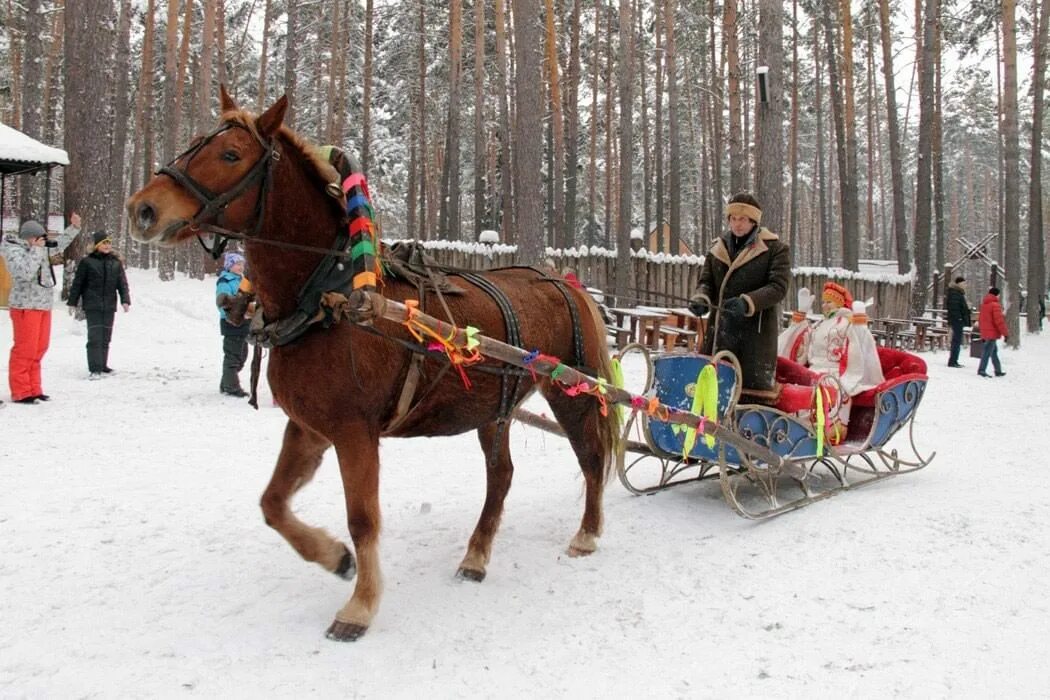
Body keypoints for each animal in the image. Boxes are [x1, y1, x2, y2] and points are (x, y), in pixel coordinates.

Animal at [125, 90, 617, 642]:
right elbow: (272, 504)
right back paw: (475, 556)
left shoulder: (353, 431)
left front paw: (359, 605)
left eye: (231, 155)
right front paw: (334, 557)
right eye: (193, 143)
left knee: (591, 458)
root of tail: (563, 281)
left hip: (571, 392)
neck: (328, 298)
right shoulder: (309, 426)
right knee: (502, 476)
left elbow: (362, 518)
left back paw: (586, 534)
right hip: (495, 408)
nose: (142, 208)